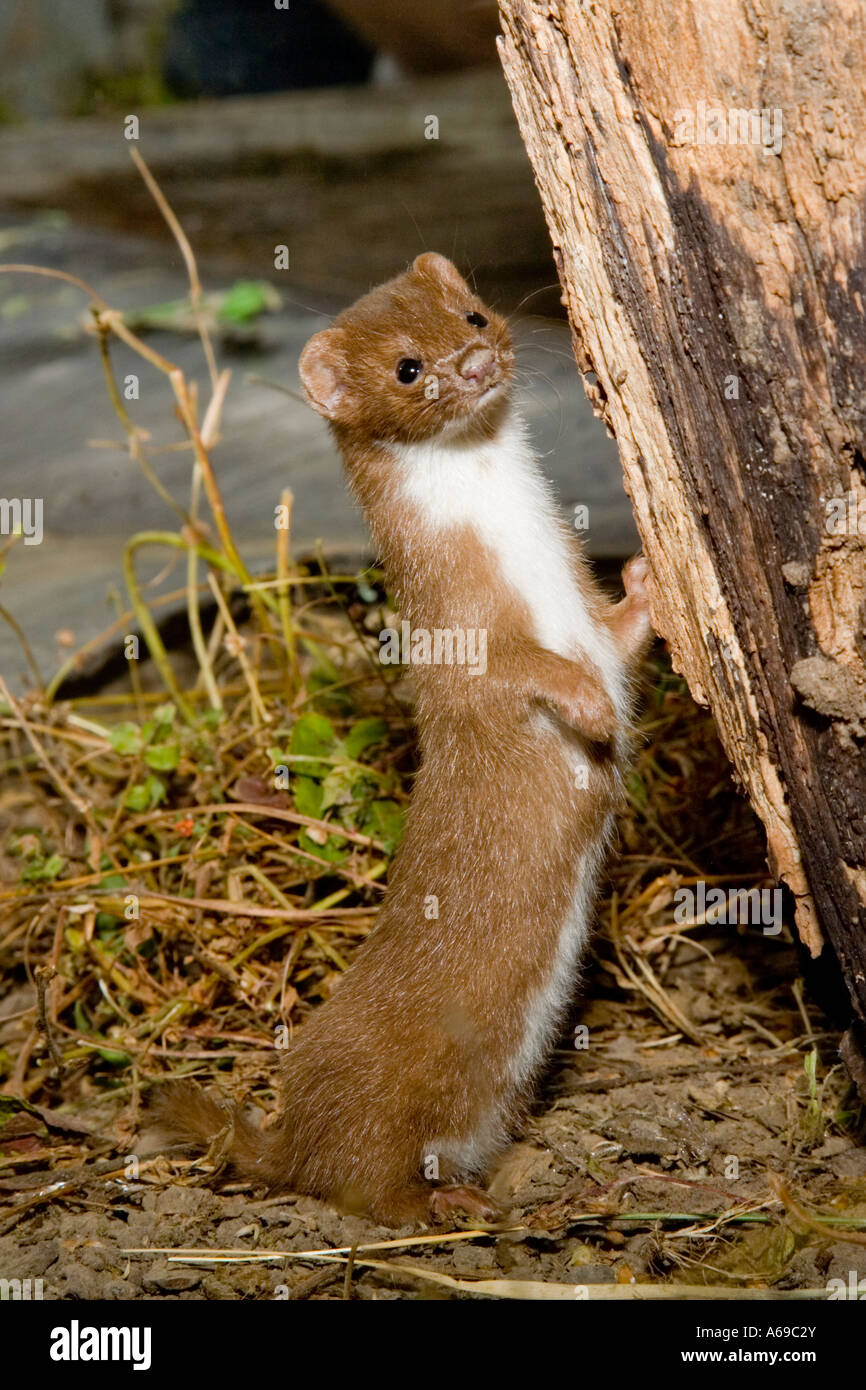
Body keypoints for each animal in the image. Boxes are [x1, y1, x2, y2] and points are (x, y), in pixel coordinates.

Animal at [155, 252, 653, 1228]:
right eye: (406, 368)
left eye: (472, 315)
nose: (473, 362)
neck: (529, 565)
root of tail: (289, 1131)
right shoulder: (460, 642)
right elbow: (517, 675)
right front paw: (589, 710)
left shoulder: (589, 616)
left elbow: (621, 635)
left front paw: (650, 581)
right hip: (373, 1110)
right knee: (357, 1179)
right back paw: (442, 1204)